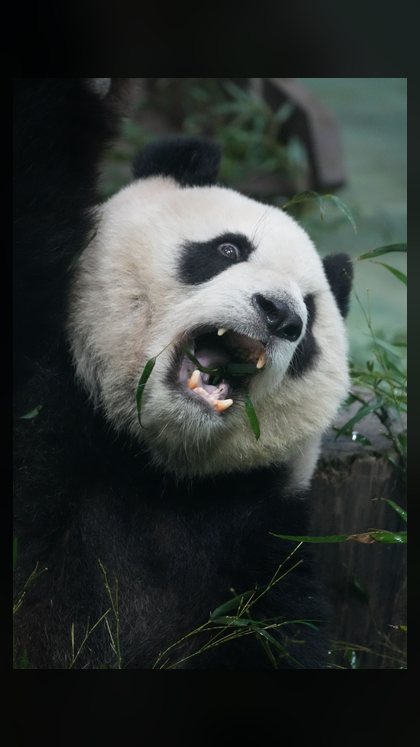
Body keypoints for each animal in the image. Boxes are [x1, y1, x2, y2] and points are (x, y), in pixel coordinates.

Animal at [13, 79, 352, 670]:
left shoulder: (259, 547)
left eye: (309, 316)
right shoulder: (39, 396)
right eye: (227, 248)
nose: (280, 315)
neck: (155, 470)